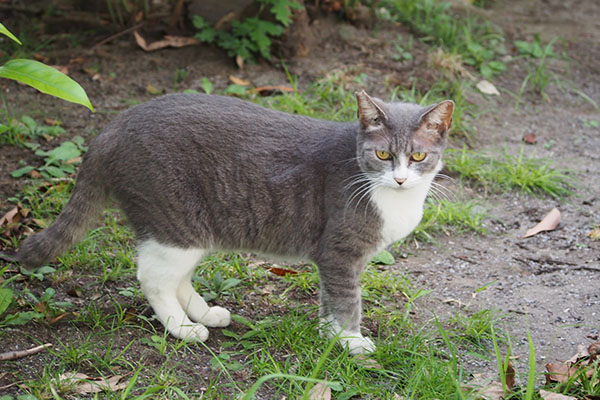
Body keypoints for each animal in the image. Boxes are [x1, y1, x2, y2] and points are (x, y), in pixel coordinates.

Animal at [16, 90, 452, 354]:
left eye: (417, 157)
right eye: (382, 155)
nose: (400, 178)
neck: (396, 199)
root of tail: (112, 127)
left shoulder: (334, 260)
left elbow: (330, 300)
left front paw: (330, 336)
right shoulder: (339, 251)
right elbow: (347, 299)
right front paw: (351, 341)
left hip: (192, 227)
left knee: (177, 277)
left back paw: (206, 313)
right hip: (175, 220)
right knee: (153, 277)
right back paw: (183, 328)